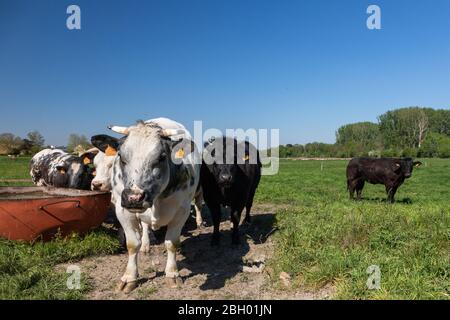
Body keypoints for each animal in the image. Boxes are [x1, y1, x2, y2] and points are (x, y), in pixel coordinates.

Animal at [97, 119, 201, 292]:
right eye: (121, 156)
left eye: (162, 157)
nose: (134, 198)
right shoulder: (122, 210)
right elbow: (132, 244)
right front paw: (129, 277)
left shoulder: (182, 210)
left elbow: (172, 243)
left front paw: (172, 274)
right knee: (145, 226)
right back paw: (146, 244)